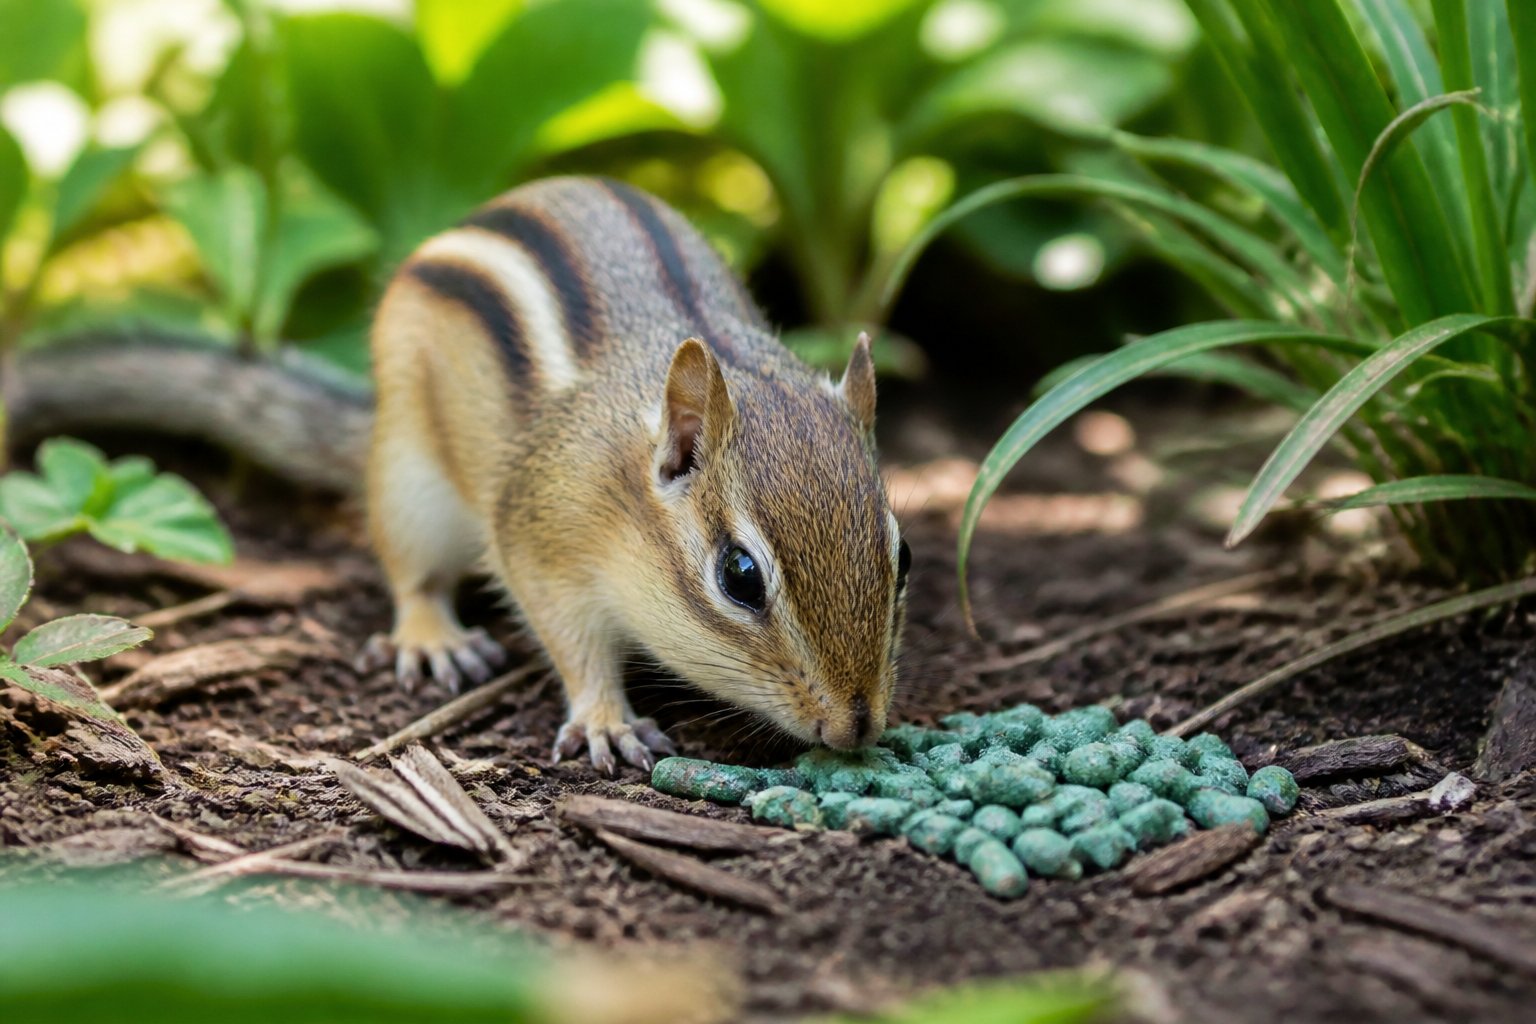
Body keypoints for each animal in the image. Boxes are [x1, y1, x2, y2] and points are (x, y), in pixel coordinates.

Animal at [6, 176, 910, 773]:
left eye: (902, 558)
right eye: (740, 576)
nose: (856, 727)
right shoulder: (539, 538)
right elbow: (573, 640)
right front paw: (606, 718)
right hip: (411, 483)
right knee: (410, 574)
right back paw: (432, 637)